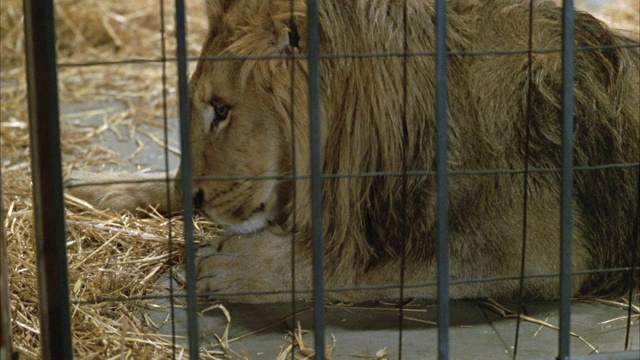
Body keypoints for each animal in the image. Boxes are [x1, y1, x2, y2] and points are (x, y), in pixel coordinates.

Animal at [66, 0, 640, 304]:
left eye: (221, 109)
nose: (197, 201)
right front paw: (98, 188)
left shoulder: (536, 250)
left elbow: (369, 267)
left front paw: (241, 267)